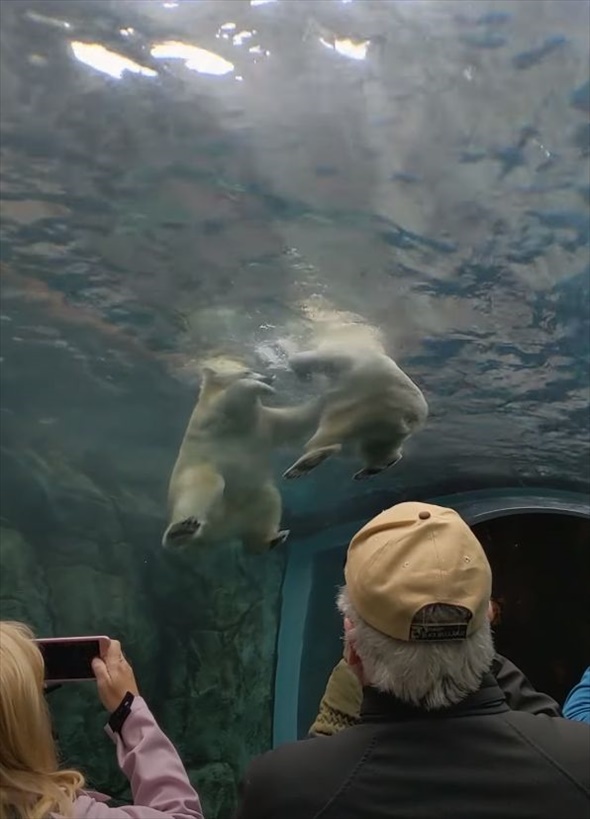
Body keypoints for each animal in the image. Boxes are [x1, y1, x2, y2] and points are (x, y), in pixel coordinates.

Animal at [163, 362, 324, 556]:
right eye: (247, 371)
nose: (269, 377)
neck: (248, 420)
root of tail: (221, 531)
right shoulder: (213, 415)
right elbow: (233, 397)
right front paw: (263, 388)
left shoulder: (266, 422)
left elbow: (297, 419)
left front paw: (324, 395)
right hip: (197, 472)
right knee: (203, 489)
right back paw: (180, 531)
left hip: (252, 501)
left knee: (269, 503)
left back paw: (272, 539)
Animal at [284, 338, 430, 480]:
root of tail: (409, 415)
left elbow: (311, 358)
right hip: (386, 426)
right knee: (378, 447)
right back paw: (369, 471)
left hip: (367, 406)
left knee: (331, 431)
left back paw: (301, 466)